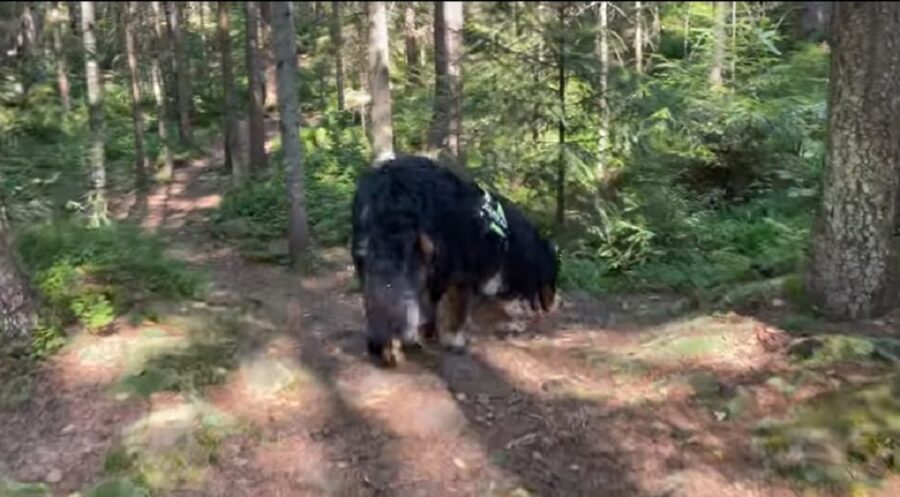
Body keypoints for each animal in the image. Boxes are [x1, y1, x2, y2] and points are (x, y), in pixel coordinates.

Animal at [350, 156, 556, 368]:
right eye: (554, 278)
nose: (552, 304)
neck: (507, 239)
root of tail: (391, 184)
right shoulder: (460, 275)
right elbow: (457, 313)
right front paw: (455, 341)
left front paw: (429, 334)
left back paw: (384, 348)